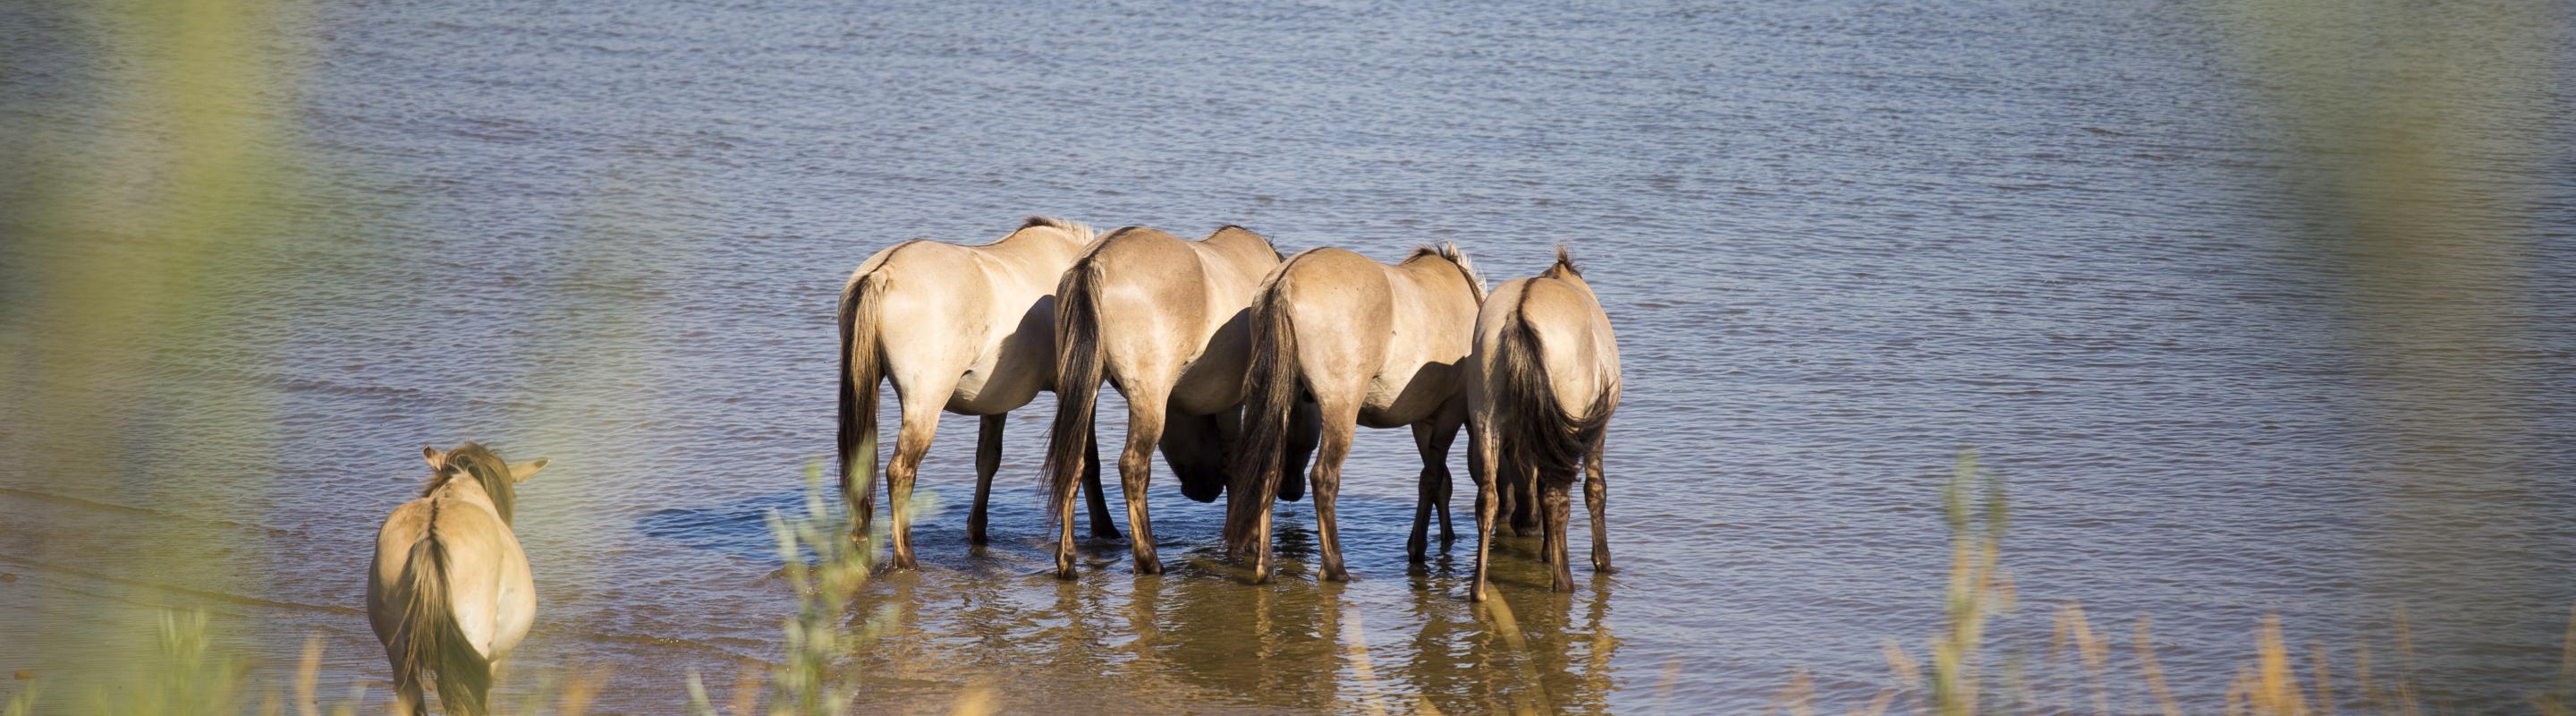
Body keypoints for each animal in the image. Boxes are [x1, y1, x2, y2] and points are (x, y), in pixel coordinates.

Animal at [837, 216, 1120, 569]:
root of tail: (882, 273)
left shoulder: (997, 401)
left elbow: (987, 460)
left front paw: (977, 531)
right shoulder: (1082, 389)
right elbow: (1088, 460)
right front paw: (1105, 528)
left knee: (861, 465)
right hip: (925, 405)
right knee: (900, 472)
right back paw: (906, 558)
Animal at [1041, 225, 1319, 577]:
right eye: (1309, 405)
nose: (1292, 490)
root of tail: (1093, 264)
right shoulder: (1235, 403)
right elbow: (1238, 465)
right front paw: (1245, 541)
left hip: (1085, 384)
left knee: (1076, 459)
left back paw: (1068, 558)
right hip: (1148, 394)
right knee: (1133, 466)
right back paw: (1148, 558)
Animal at [1224, 243, 1488, 583]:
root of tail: (1284, 283)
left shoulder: (1423, 418)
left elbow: (1436, 479)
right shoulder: (1449, 411)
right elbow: (1433, 477)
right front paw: (1418, 548)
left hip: (1280, 400)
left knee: (1268, 468)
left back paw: (1265, 566)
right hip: (1341, 407)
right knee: (1324, 478)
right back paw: (1335, 568)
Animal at [1465, 248, 1621, 600]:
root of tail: (1517, 315)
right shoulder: (1594, 430)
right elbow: (1596, 489)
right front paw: (1602, 560)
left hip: (1487, 421)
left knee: (1487, 499)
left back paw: (1479, 588)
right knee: (1556, 496)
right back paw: (1564, 582)